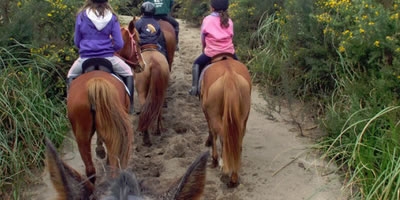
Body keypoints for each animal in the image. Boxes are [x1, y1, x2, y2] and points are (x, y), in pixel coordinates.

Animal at [120, 18, 172, 146]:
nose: (141, 66)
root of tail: (154, 62)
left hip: (142, 90)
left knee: (145, 108)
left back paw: (146, 137)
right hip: (161, 90)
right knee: (158, 106)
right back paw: (157, 130)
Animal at [200, 54, 253, 188]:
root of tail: (229, 75)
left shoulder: (207, 112)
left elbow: (212, 133)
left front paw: (214, 159)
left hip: (214, 114)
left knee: (222, 135)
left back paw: (223, 168)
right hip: (243, 117)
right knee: (236, 141)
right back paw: (233, 176)